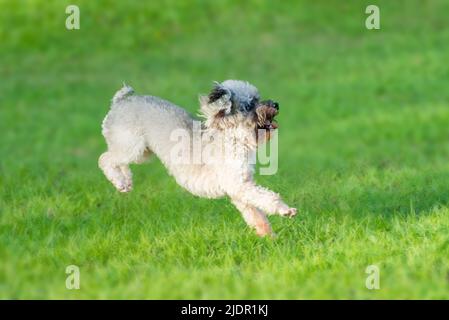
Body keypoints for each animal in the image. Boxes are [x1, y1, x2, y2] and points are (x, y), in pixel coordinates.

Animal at [100, 79, 298, 235]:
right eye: (250, 105)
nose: (276, 104)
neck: (231, 139)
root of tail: (121, 100)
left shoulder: (239, 190)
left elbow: (256, 215)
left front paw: (269, 236)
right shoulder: (240, 186)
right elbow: (267, 198)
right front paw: (285, 210)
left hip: (141, 153)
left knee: (118, 161)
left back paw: (125, 183)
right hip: (132, 146)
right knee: (105, 159)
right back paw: (120, 181)